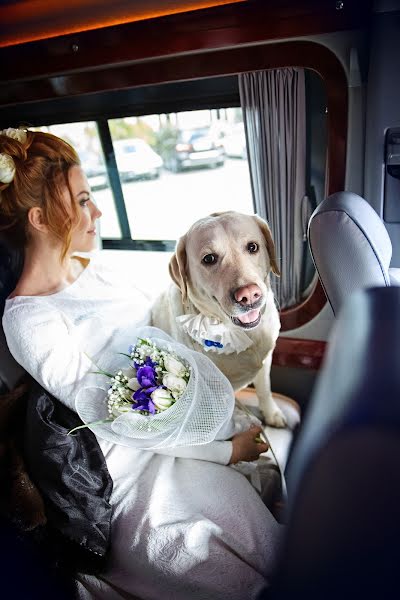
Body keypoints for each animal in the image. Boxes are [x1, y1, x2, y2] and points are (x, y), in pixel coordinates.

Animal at [152, 211, 286, 426]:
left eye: (253, 247)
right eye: (209, 259)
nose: (249, 295)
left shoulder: (266, 361)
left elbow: (265, 389)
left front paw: (271, 413)